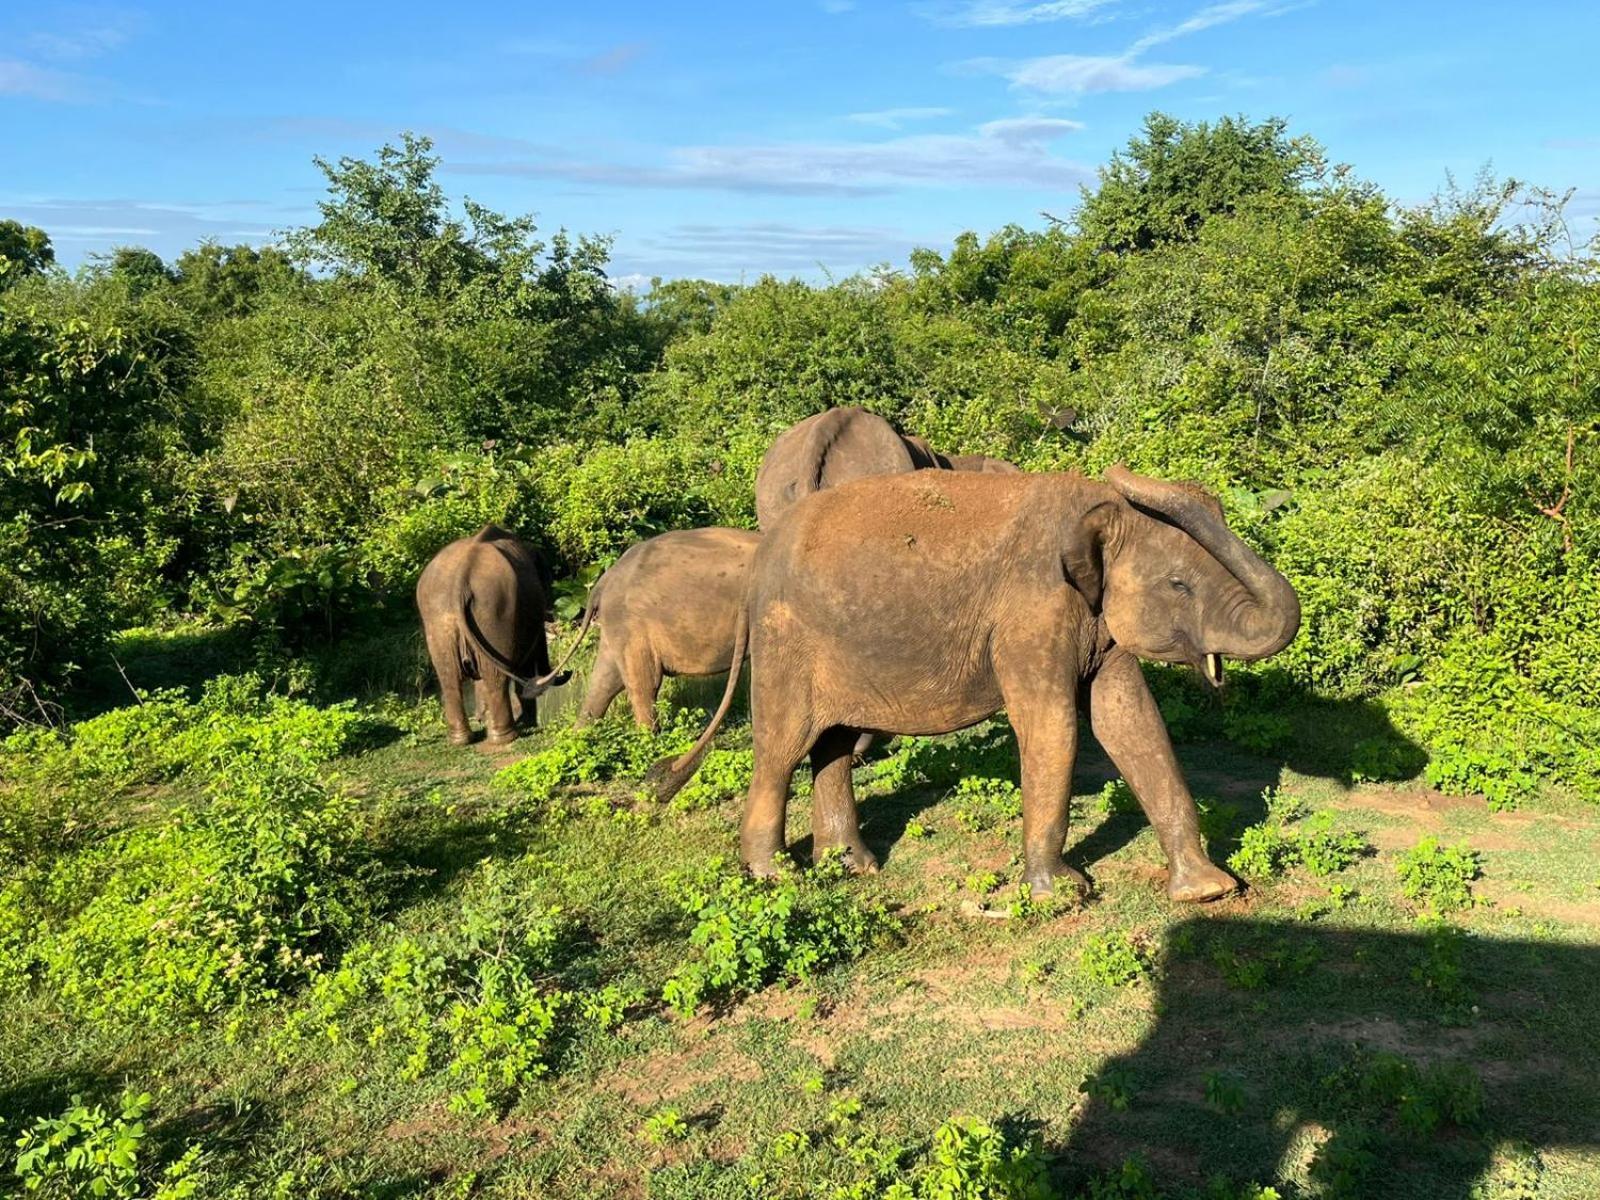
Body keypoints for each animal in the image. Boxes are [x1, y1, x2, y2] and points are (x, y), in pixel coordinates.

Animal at [419, 524, 569, 742]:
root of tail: (459, 583)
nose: (568, 672)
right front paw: (527, 723)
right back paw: (506, 736)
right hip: (495, 612)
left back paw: (461, 740)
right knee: (495, 676)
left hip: (438, 617)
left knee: (449, 676)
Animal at [540, 528, 758, 732]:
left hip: (618, 626)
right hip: (632, 625)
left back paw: (580, 736)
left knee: (605, 680)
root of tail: (603, 581)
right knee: (644, 684)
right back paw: (650, 737)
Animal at [659, 467, 1299, 902]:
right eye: (1178, 584)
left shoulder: (1096, 622)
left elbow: (1132, 721)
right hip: (783, 640)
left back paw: (854, 866)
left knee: (833, 742)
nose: (1122, 470)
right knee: (783, 747)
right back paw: (777, 876)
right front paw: (1064, 892)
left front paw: (1207, 890)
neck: (1090, 505)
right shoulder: (1031, 612)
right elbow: (1053, 726)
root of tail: (758, 559)